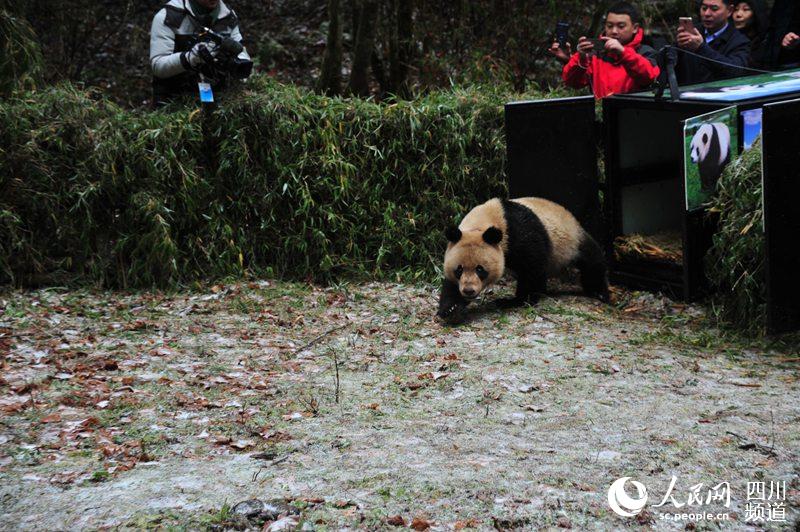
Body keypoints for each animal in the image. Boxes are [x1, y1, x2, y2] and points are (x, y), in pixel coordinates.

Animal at [436, 197, 609, 322]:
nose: (468, 290)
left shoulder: (519, 234)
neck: (482, 225)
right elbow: (451, 286)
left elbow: (532, 265)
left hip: (571, 240)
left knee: (592, 262)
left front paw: (519, 300)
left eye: (480, 269)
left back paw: (600, 293)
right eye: (459, 270)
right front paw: (451, 309)